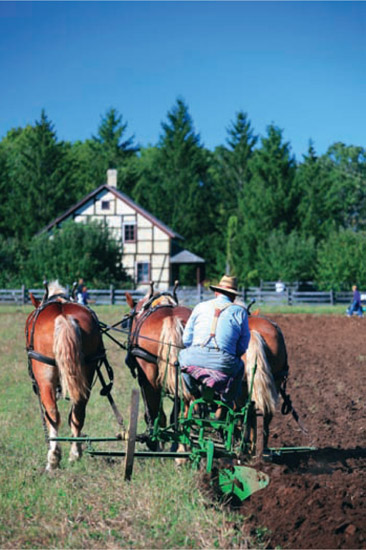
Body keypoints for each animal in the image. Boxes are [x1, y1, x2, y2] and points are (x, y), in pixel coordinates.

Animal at [25, 282, 105, 472]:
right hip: (88, 369)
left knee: (52, 413)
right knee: (78, 411)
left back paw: (53, 458)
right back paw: (75, 454)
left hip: (44, 375)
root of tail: (63, 317)